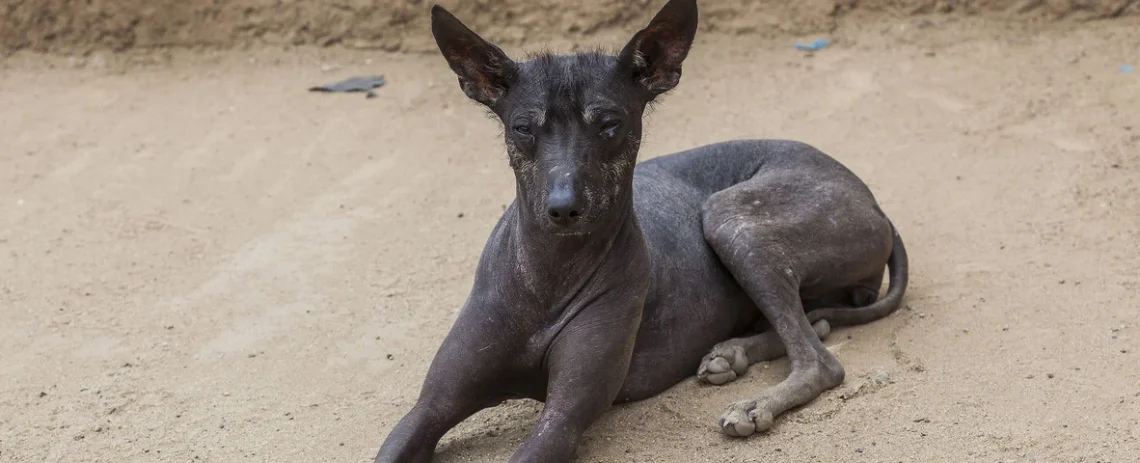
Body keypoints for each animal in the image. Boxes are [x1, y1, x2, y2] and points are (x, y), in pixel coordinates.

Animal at [373, 1, 907, 460]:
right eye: (524, 128)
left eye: (609, 123)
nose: (562, 208)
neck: (549, 274)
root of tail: (874, 202)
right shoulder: (429, 409)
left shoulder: (562, 420)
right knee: (814, 324)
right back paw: (732, 352)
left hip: (731, 218)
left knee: (819, 359)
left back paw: (755, 402)